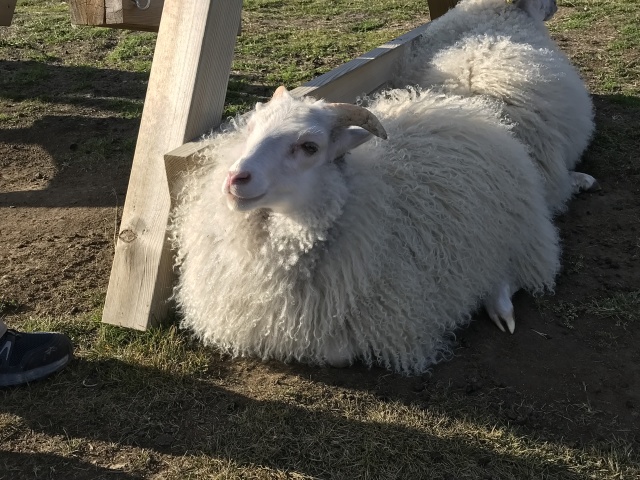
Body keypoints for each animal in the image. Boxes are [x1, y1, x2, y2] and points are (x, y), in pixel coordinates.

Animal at [169, 85, 561, 374]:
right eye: (251, 129)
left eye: (309, 146)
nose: (235, 178)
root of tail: (466, 107)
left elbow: (338, 353)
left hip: (513, 230)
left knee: (509, 270)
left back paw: (500, 308)